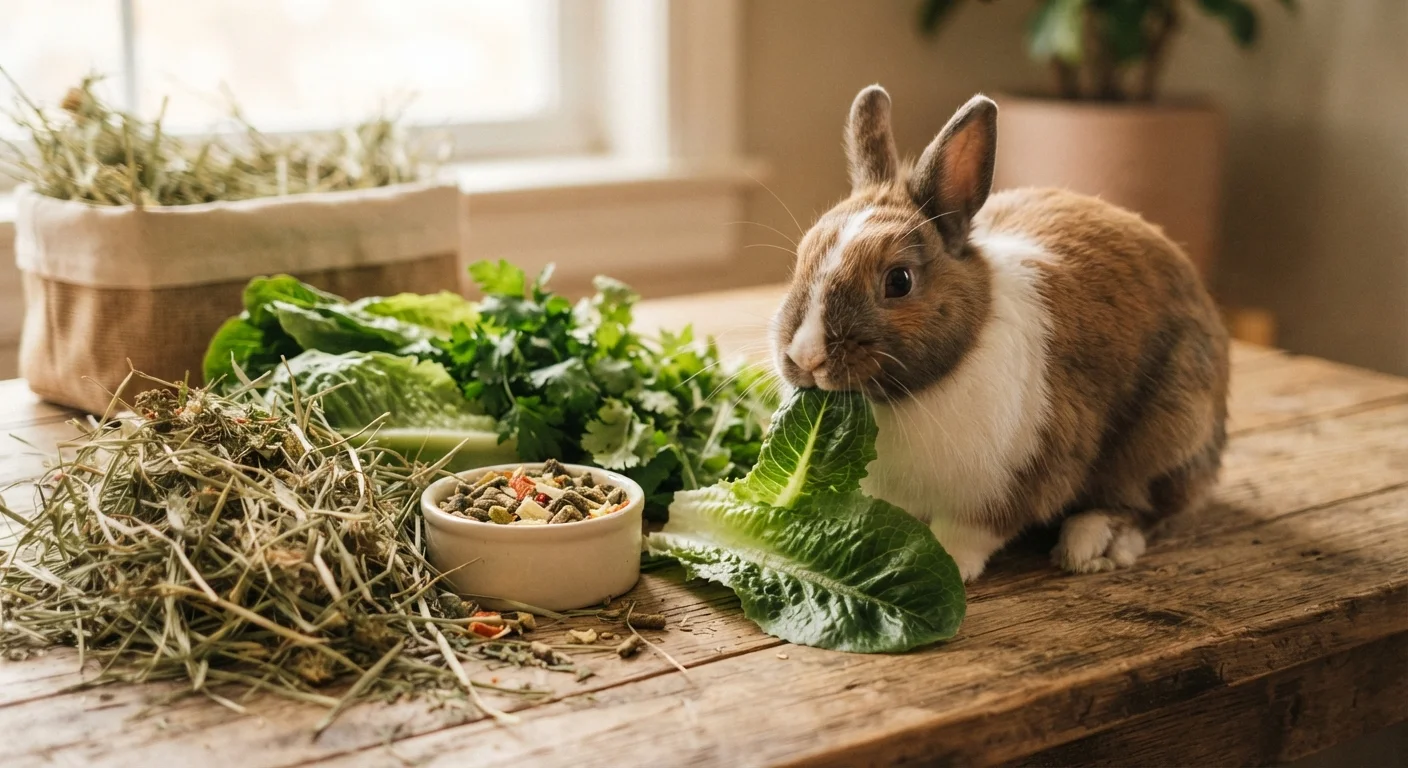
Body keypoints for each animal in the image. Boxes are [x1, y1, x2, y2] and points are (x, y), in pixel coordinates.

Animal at [770, 85, 1229, 582]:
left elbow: (969, 533)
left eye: (899, 281)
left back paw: (1091, 543)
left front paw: (948, 564)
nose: (807, 357)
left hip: (1168, 433)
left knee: (1154, 505)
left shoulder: (1011, 484)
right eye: (802, 256)